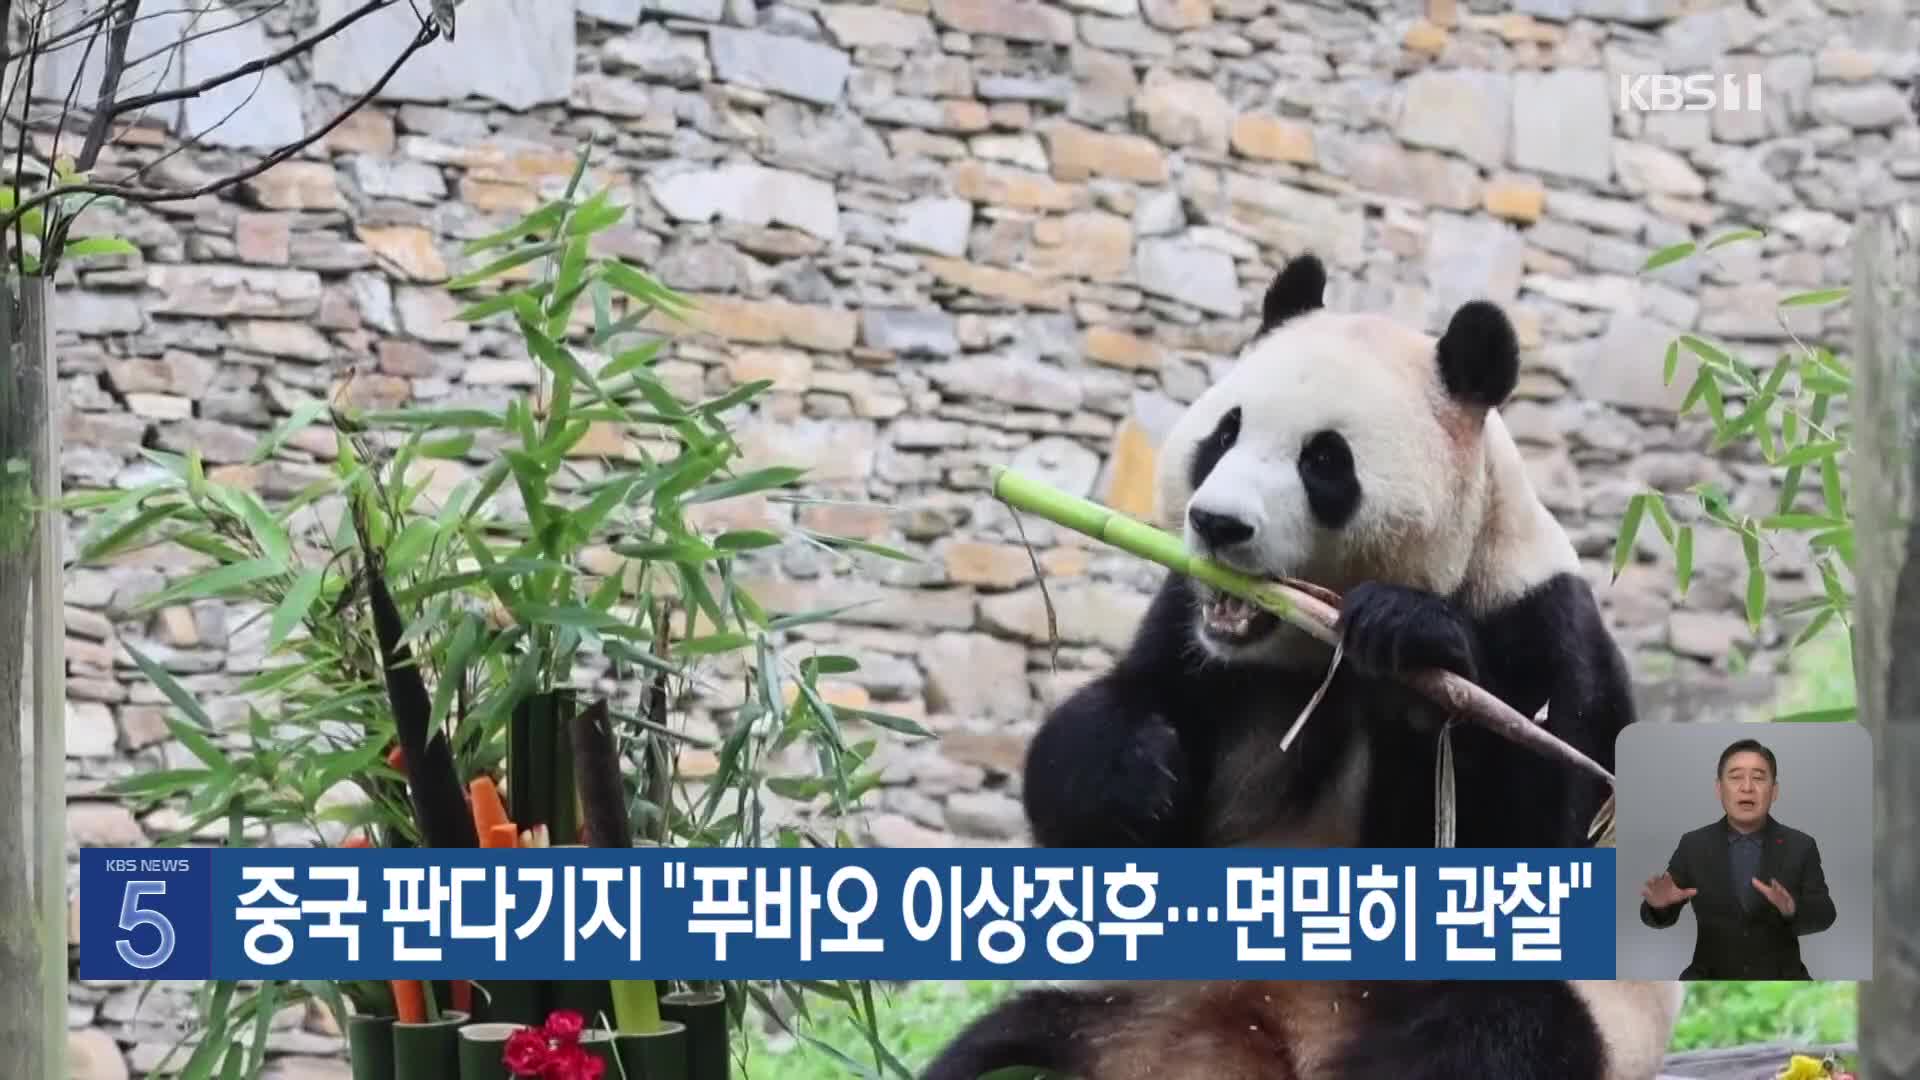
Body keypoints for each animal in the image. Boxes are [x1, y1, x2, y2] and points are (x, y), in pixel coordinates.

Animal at [921, 253, 1689, 1076]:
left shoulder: (1540, 630)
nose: (1216, 524)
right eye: (1224, 432)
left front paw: (1406, 640)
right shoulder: (1197, 633)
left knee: (1495, 1029)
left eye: (1324, 461)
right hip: (1114, 1009)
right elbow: (1117, 792)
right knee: (1001, 1046)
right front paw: (1134, 768)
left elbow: (1525, 834)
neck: (1314, 645)